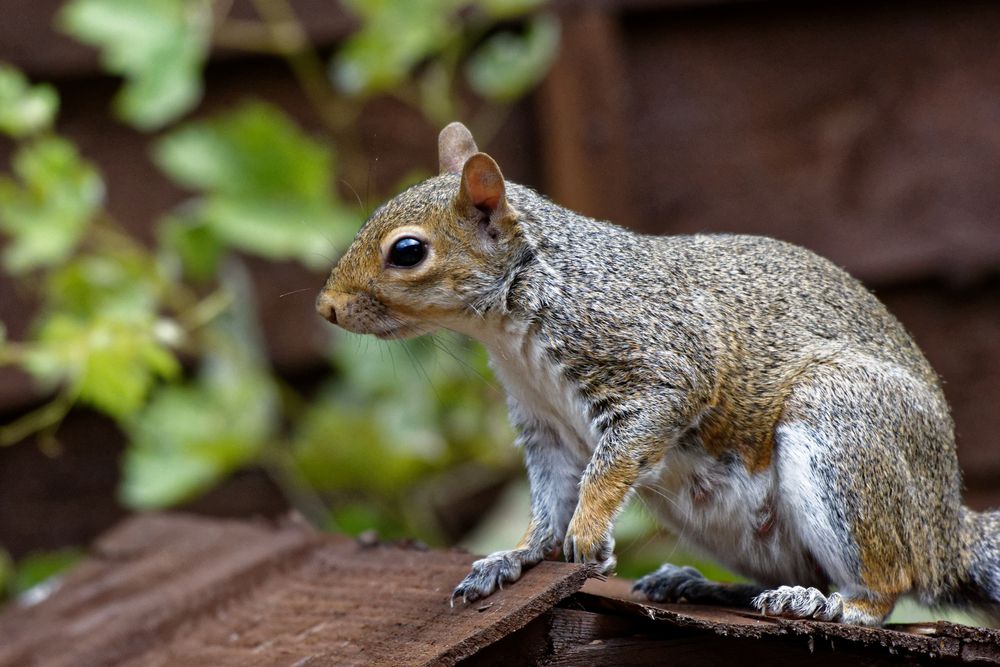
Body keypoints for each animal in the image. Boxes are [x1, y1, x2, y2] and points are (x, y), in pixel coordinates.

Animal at [314, 120, 1000, 628]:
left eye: (407, 251)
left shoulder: (657, 365)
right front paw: (513, 556)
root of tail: (946, 530)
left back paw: (831, 605)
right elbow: (547, 501)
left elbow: (619, 455)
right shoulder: (544, 427)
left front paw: (589, 532)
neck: (514, 325)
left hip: (844, 430)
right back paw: (706, 587)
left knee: (886, 585)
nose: (326, 307)